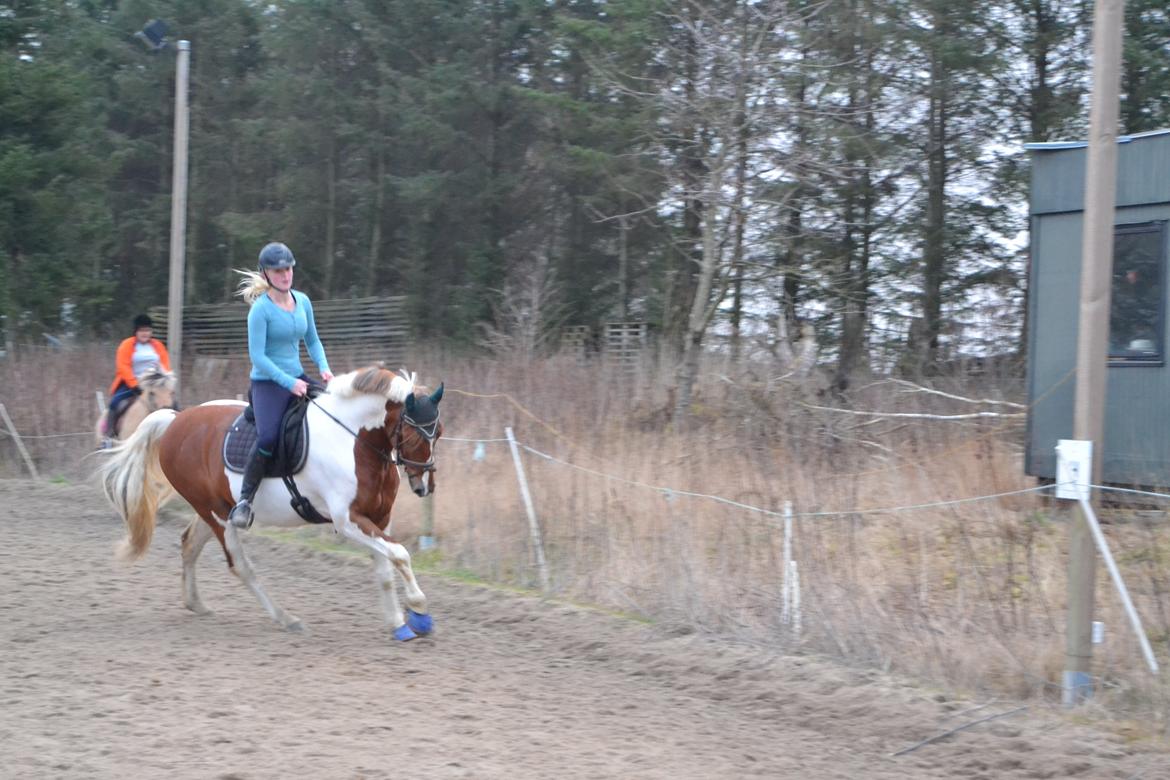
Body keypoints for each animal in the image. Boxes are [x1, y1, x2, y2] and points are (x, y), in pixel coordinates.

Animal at [95, 369, 439, 645]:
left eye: (439, 434)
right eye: (414, 435)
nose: (425, 486)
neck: (352, 440)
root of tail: (176, 420)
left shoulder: (379, 518)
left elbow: (385, 569)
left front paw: (398, 624)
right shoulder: (348, 520)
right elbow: (400, 554)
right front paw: (419, 611)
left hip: (213, 509)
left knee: (190, 545)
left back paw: (196, 604)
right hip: (218, 516)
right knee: (240, 566)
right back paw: (287, 619)